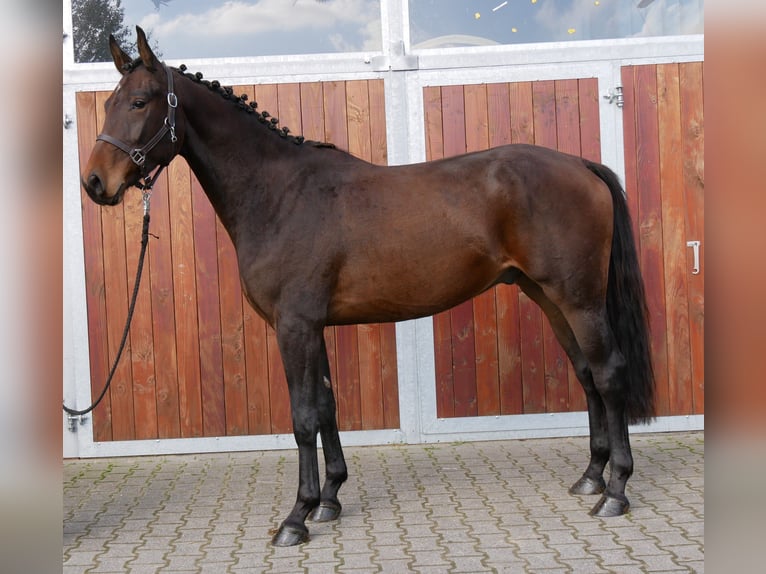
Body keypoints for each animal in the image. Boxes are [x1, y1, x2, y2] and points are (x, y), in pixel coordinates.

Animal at [82, 27, 656, 548]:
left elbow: (303, 416)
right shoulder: (312, 326)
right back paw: (591, 477)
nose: (94, 183)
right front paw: (330, 499)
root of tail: (580, 165)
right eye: (107, 103)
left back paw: (616, 492)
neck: (279, 194)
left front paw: (297, 517)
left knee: (609, 373)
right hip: (549, 298)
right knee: (586, 375)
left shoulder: (294, 327)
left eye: (138, 102)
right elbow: (326, 405)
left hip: (579, 300)